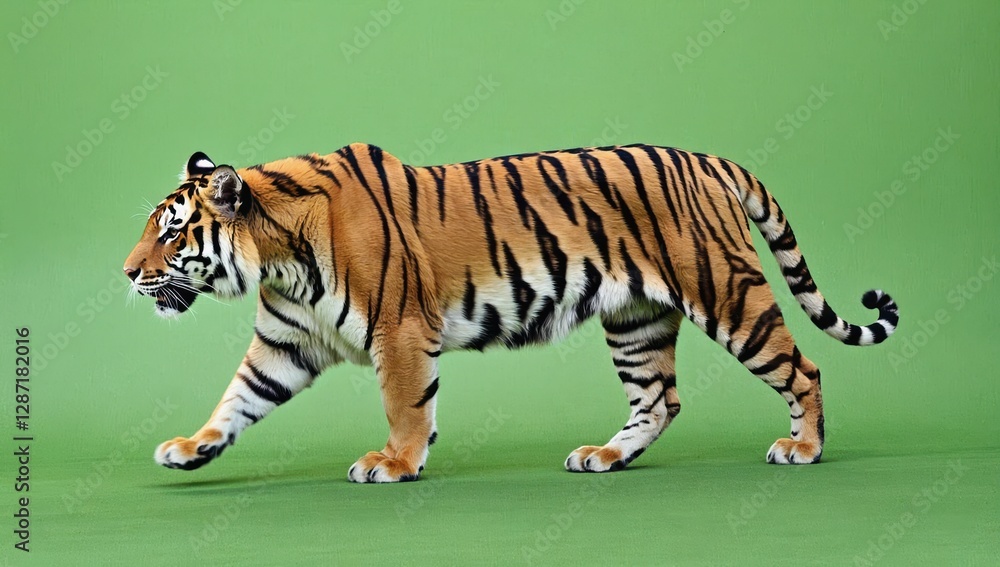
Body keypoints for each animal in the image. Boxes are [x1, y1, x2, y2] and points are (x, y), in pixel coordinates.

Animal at [123, 143, 899, 482]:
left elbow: (405, 404)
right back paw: (605, 456)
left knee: (803, 366)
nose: (127, 274)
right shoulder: (285, 341)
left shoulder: (399, 330)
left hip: (726, 291)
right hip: (636, 319)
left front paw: (395, 463)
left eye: (172, 232)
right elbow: (237, 399)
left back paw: (804, 448)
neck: (278, 252)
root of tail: (710, 160)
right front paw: (190, 448)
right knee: (659, 399)